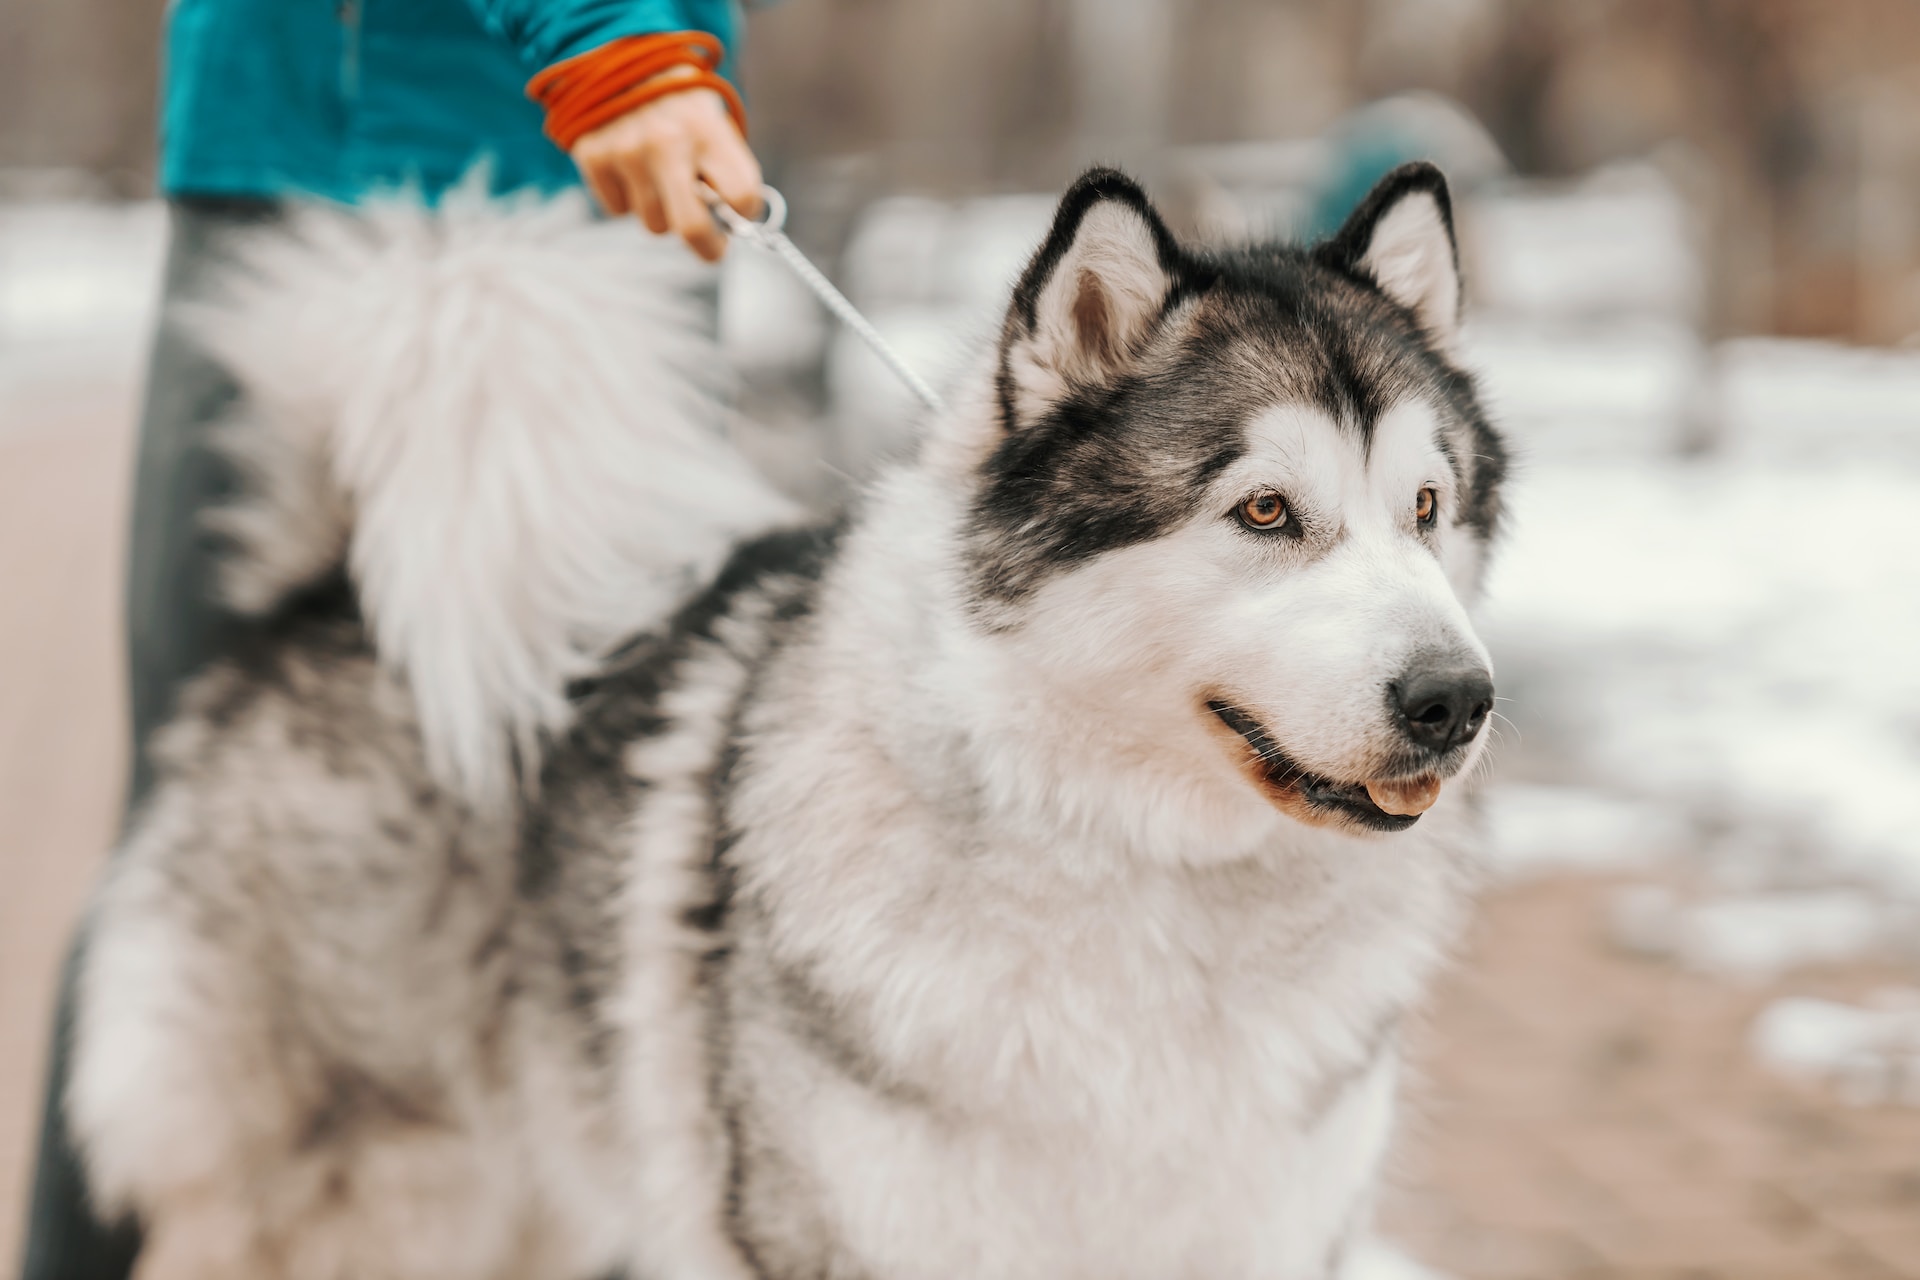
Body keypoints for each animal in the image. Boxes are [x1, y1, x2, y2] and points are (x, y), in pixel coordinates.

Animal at [71, 163, 1512, 1280]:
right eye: (1265, 510)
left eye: (1427, 508)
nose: (1457, 698)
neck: (1155, 886)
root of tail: (331, 596)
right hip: (366, 1201)